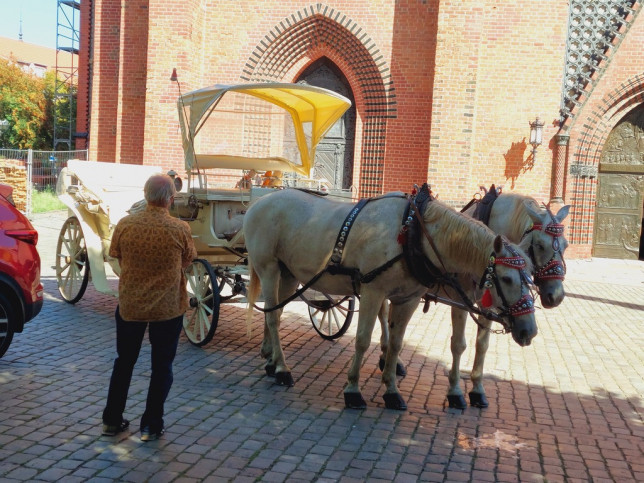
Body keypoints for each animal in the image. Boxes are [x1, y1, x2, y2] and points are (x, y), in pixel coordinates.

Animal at [244, 187, 536, 410]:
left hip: (290, 274)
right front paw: (353, 390)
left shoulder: (407, 299)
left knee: (276, 312)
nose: (529, 331)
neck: (413, 233)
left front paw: (392, 391)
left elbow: (396, 344)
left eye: (531, 277)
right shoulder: (373, 292)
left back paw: (272, 361)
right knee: (273, 316)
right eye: (507, 279)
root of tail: (259, 202)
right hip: (268, 268)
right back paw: (282, 370)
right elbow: (362, 340)